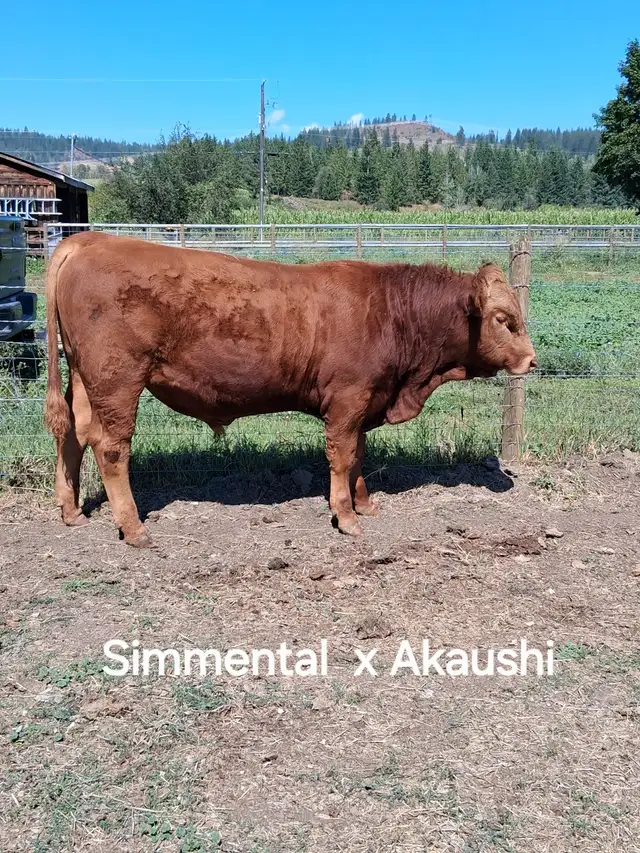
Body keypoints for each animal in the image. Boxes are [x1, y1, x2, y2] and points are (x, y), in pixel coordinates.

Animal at [44, 232, 536, 547]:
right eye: (503, 319)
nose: (531, 360)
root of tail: (88, 240)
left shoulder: (363, 403)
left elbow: (359, 455)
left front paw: (364, 505)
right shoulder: (348, 399)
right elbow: (342, 457)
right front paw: (346, 517)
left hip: (84, 378)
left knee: (72, 434)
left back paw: (71, 512)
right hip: (118, 380)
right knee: (111, 448)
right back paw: (134, 530)